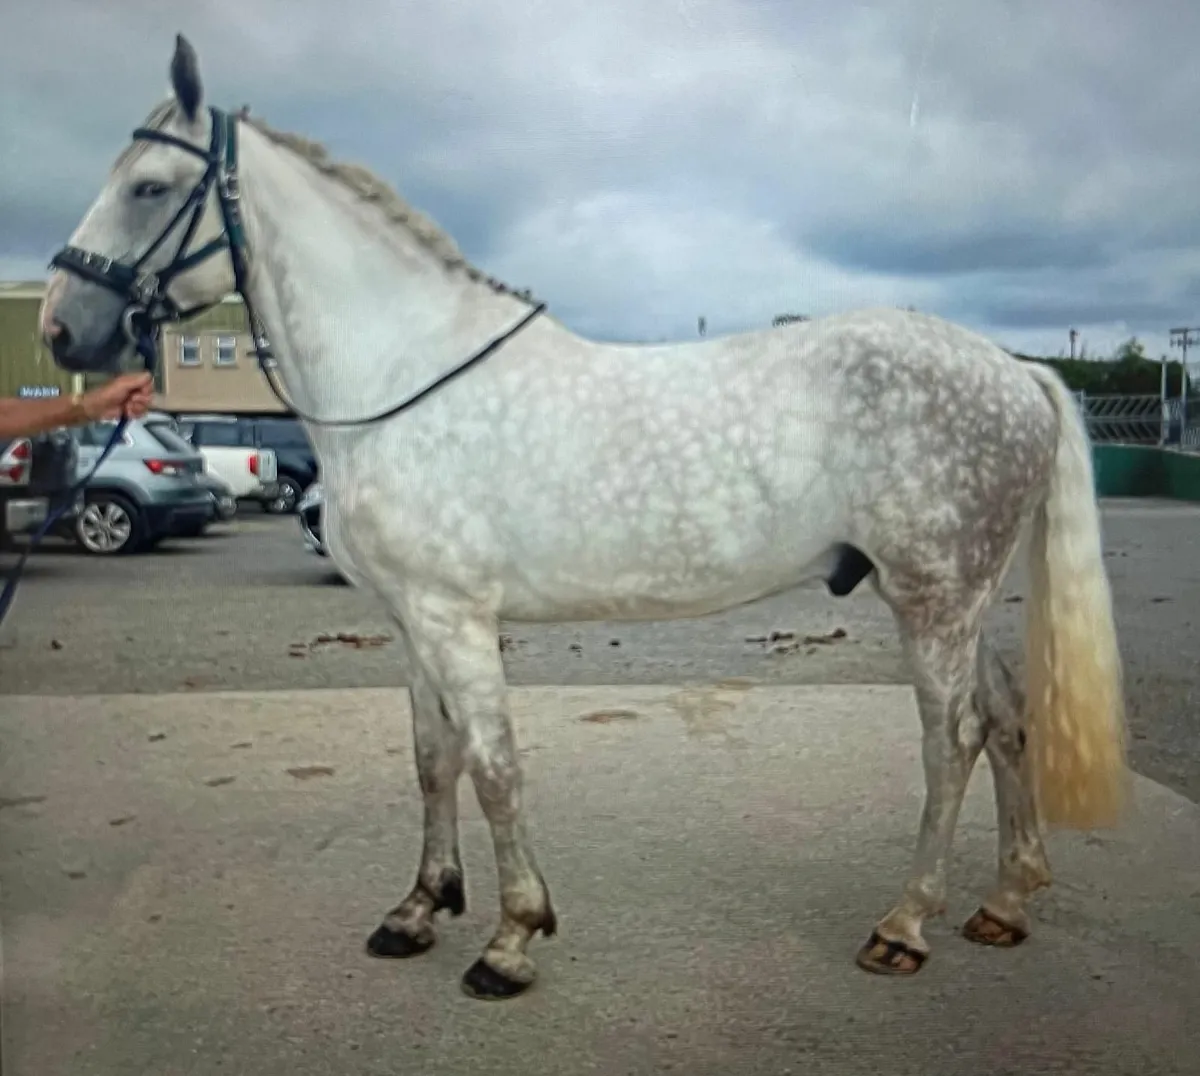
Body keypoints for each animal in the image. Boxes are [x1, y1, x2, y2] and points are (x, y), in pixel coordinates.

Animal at [41, 34, 1128, 1001]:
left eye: (147, 186)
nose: (59, 328)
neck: (402, 379)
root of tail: (1017, 371)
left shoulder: (457, 619)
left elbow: (494, 766)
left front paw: (512, 938)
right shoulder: (410, 619)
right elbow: (433, 759)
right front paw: (419, 908)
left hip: (931, 599)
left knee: (952, 739)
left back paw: (904, 925)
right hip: (958, 599)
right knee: (1007, 717)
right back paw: (1005, 904)